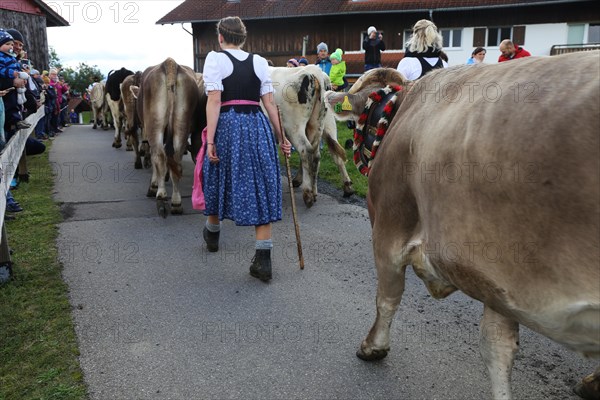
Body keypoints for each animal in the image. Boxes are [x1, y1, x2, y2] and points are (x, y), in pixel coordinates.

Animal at [326, 51, 600, 398]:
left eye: (356, 123)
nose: (350, 147)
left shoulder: (389, 232)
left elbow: (386, 298)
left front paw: (373, 347)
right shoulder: (498, 276)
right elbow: (497, 346)